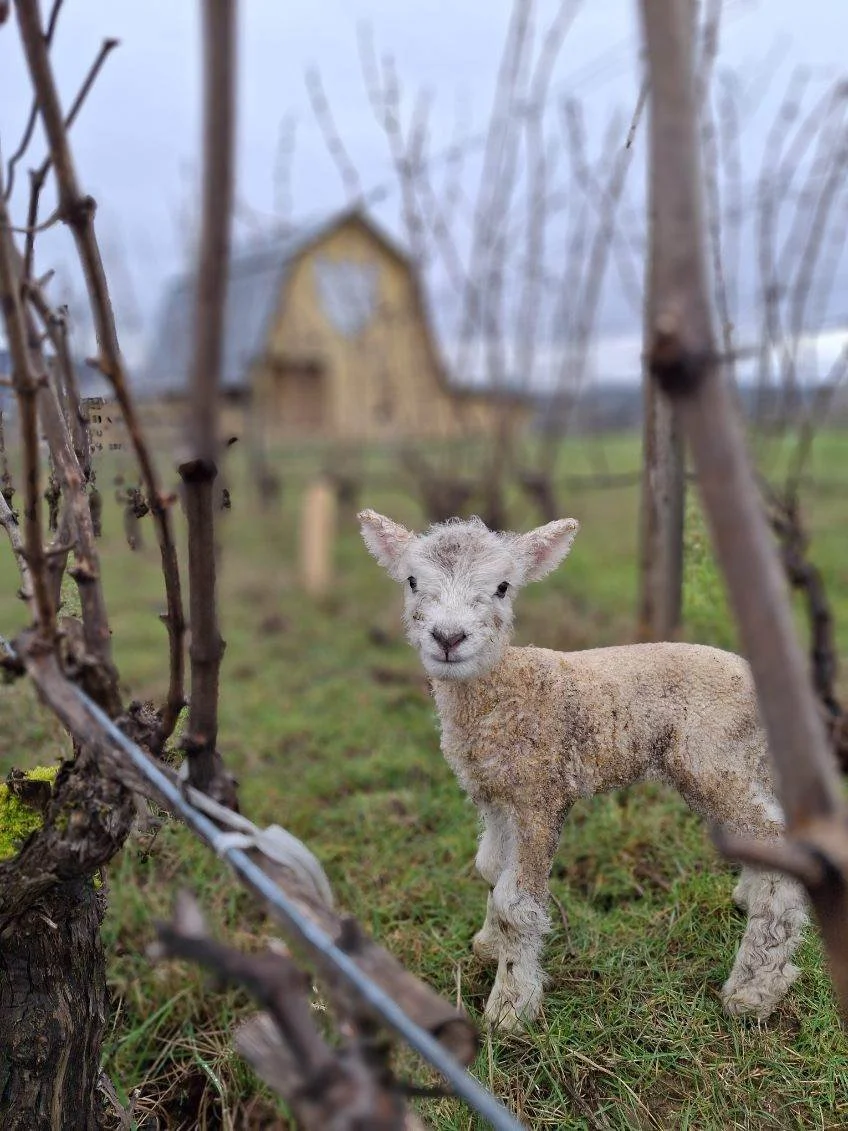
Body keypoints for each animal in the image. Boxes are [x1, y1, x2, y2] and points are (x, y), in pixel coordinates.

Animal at [358, 508, 810, 1030]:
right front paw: (489, 945)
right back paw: (750, 904)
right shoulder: (495, 794)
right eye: (412, 581)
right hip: (744, 763)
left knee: (774, 840)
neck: (506, 689)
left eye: (503, 587)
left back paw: (754, 990)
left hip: (713, 760)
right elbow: (491, 869)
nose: (448, 638)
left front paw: (510, 1005)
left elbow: (516, 902)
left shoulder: (541, 792)